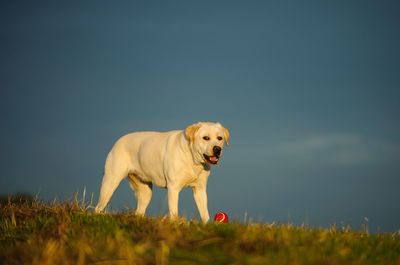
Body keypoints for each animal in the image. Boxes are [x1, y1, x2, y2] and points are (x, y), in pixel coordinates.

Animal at [94, 121, 230, 221]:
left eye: (220, 138)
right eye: (205, 138)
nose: (217, 149)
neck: (192, 158)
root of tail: (118, 141)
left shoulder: (200, 190)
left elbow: (205, 214)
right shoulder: (173, 188)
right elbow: (174, 212)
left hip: (145, 192)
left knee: (139, 212)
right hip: (110, 183)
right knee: (98, 207)